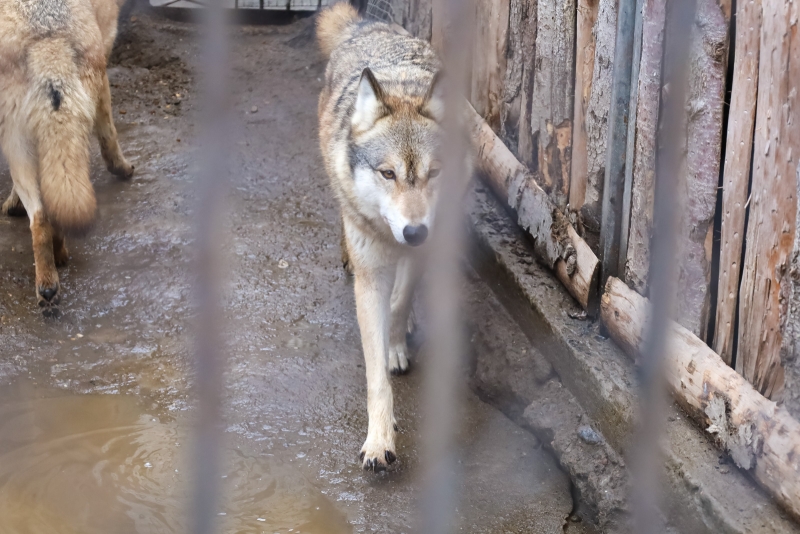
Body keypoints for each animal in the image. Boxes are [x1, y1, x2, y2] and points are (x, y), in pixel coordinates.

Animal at [0, 0, 134, 313]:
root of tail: (48, 37)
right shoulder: (105, 66)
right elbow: (109, 135)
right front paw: (122, 168)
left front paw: (12, 204)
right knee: (50, 212)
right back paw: (59, 260)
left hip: (19, 146)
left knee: (40, 217)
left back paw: (47, 285)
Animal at [317, 3, 448, 471]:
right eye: (387, 173)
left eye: (433, 173)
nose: (414, 230)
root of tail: (367, 24)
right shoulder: (371, 275)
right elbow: (375, 378)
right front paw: (379, 441)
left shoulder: (426, 245)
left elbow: (402, 297)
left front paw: (396, 341)